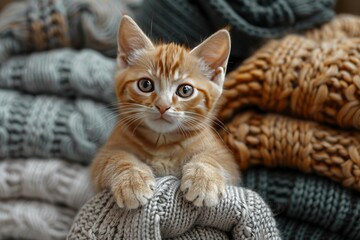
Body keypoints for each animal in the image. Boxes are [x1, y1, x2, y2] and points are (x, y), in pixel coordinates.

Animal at [91, 15, 240, 209]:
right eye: (145, 85)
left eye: (185, 90)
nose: (162, 105)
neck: (162, 143)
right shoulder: (103, 156)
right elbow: (118, 157)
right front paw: (132, 181)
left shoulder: (227, 161)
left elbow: (211, 158)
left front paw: (204, 181)